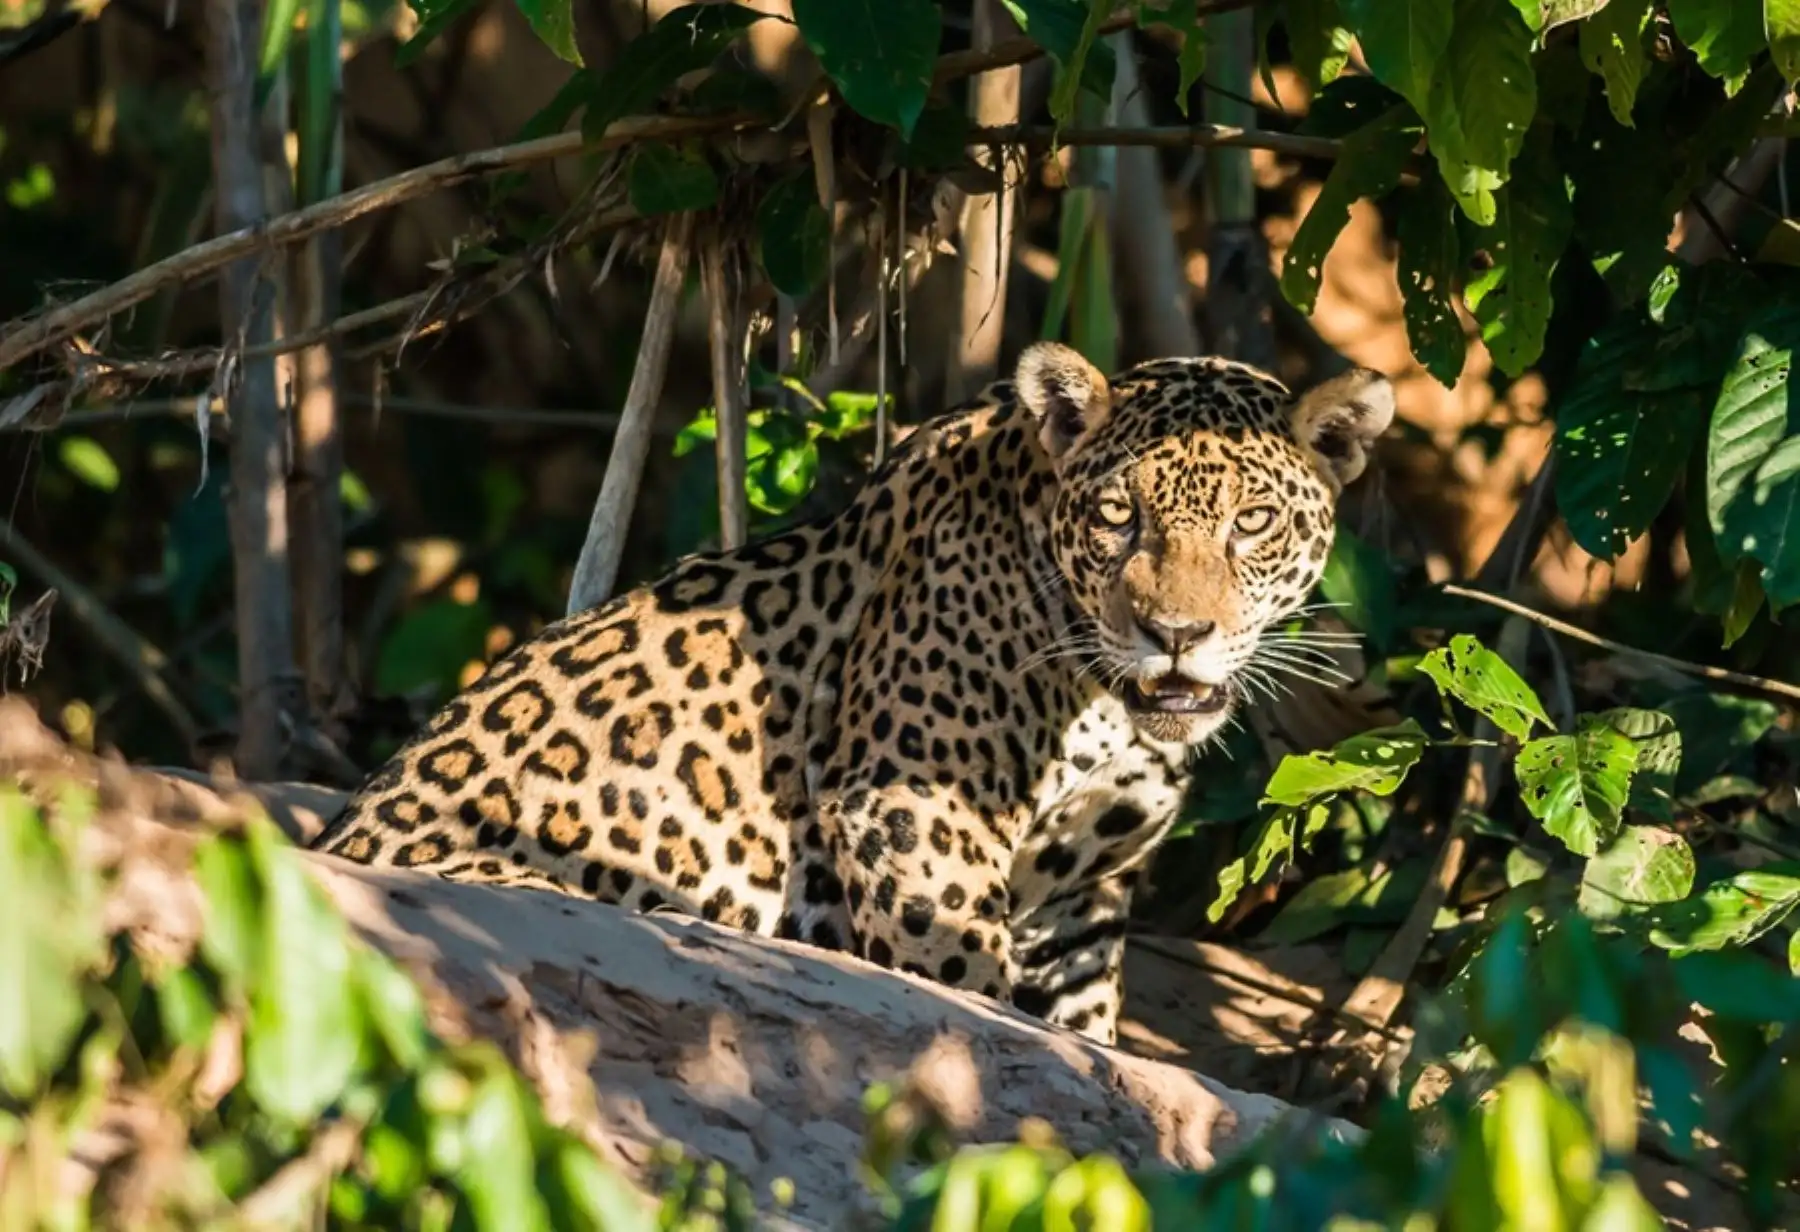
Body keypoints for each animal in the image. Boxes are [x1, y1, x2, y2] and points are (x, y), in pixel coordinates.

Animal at [313, 342, 1396, 1046]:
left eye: (1252, 522)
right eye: (1118, 517)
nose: (1174, 635)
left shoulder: (1083, 897)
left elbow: (1084, 1037)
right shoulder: (913, 810)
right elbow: (964, 985)